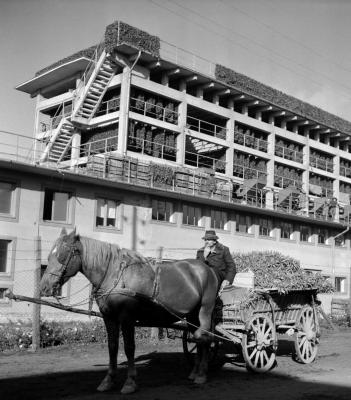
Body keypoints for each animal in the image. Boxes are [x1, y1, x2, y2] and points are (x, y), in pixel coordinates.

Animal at [40, 228, 219, 394]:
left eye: (62, 254)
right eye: (49, 255)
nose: (44, 287)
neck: (115, 276)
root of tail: (208, 270)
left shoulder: (127, 318)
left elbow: (129, 347)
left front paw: (130, 382)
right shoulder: (109, 317)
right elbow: (112, 347)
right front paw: (108, 380)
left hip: (204, 311)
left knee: (205, 338)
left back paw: (202, 374)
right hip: (192, 316)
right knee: (197, 338)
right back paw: (194, 372)